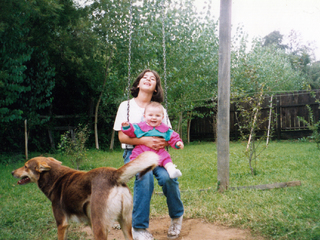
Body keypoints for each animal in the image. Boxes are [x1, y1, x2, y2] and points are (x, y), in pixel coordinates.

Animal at [11, 152, 159, 240]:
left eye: (25, 166)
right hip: (125, 224)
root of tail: (114, 174)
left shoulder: (62, 224)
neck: (55, 178)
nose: (12, 172)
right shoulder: (90, 223)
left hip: (101, 228)